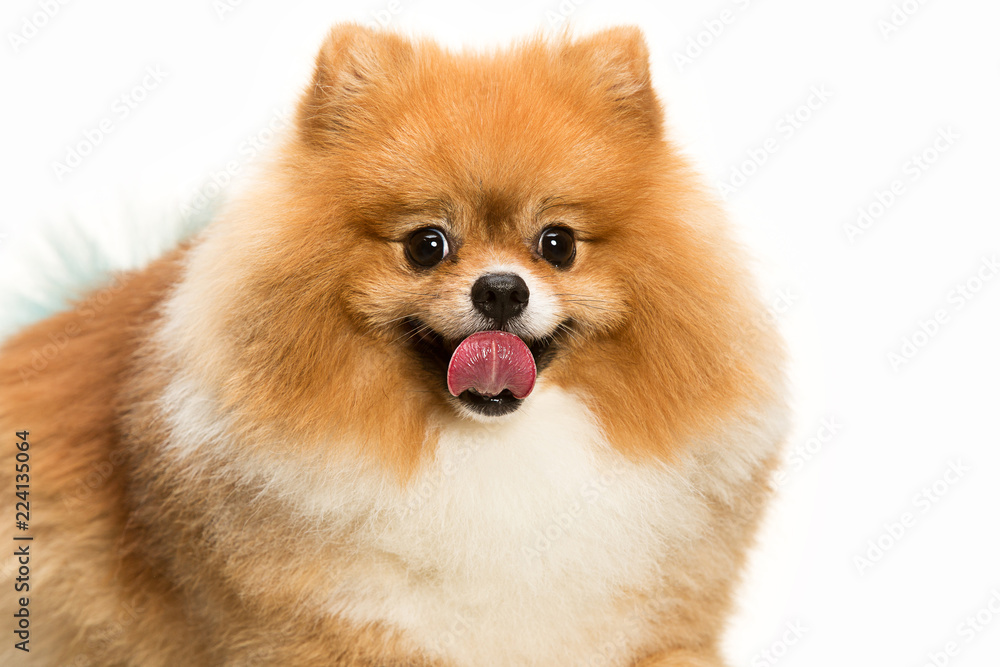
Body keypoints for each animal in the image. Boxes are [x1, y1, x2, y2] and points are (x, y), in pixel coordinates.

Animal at [0, 23, 788, 664]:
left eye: (557, 244)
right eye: (426, 244)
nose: (501, 290)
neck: (495, 457)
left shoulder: (658, 630)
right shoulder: (337, 629)